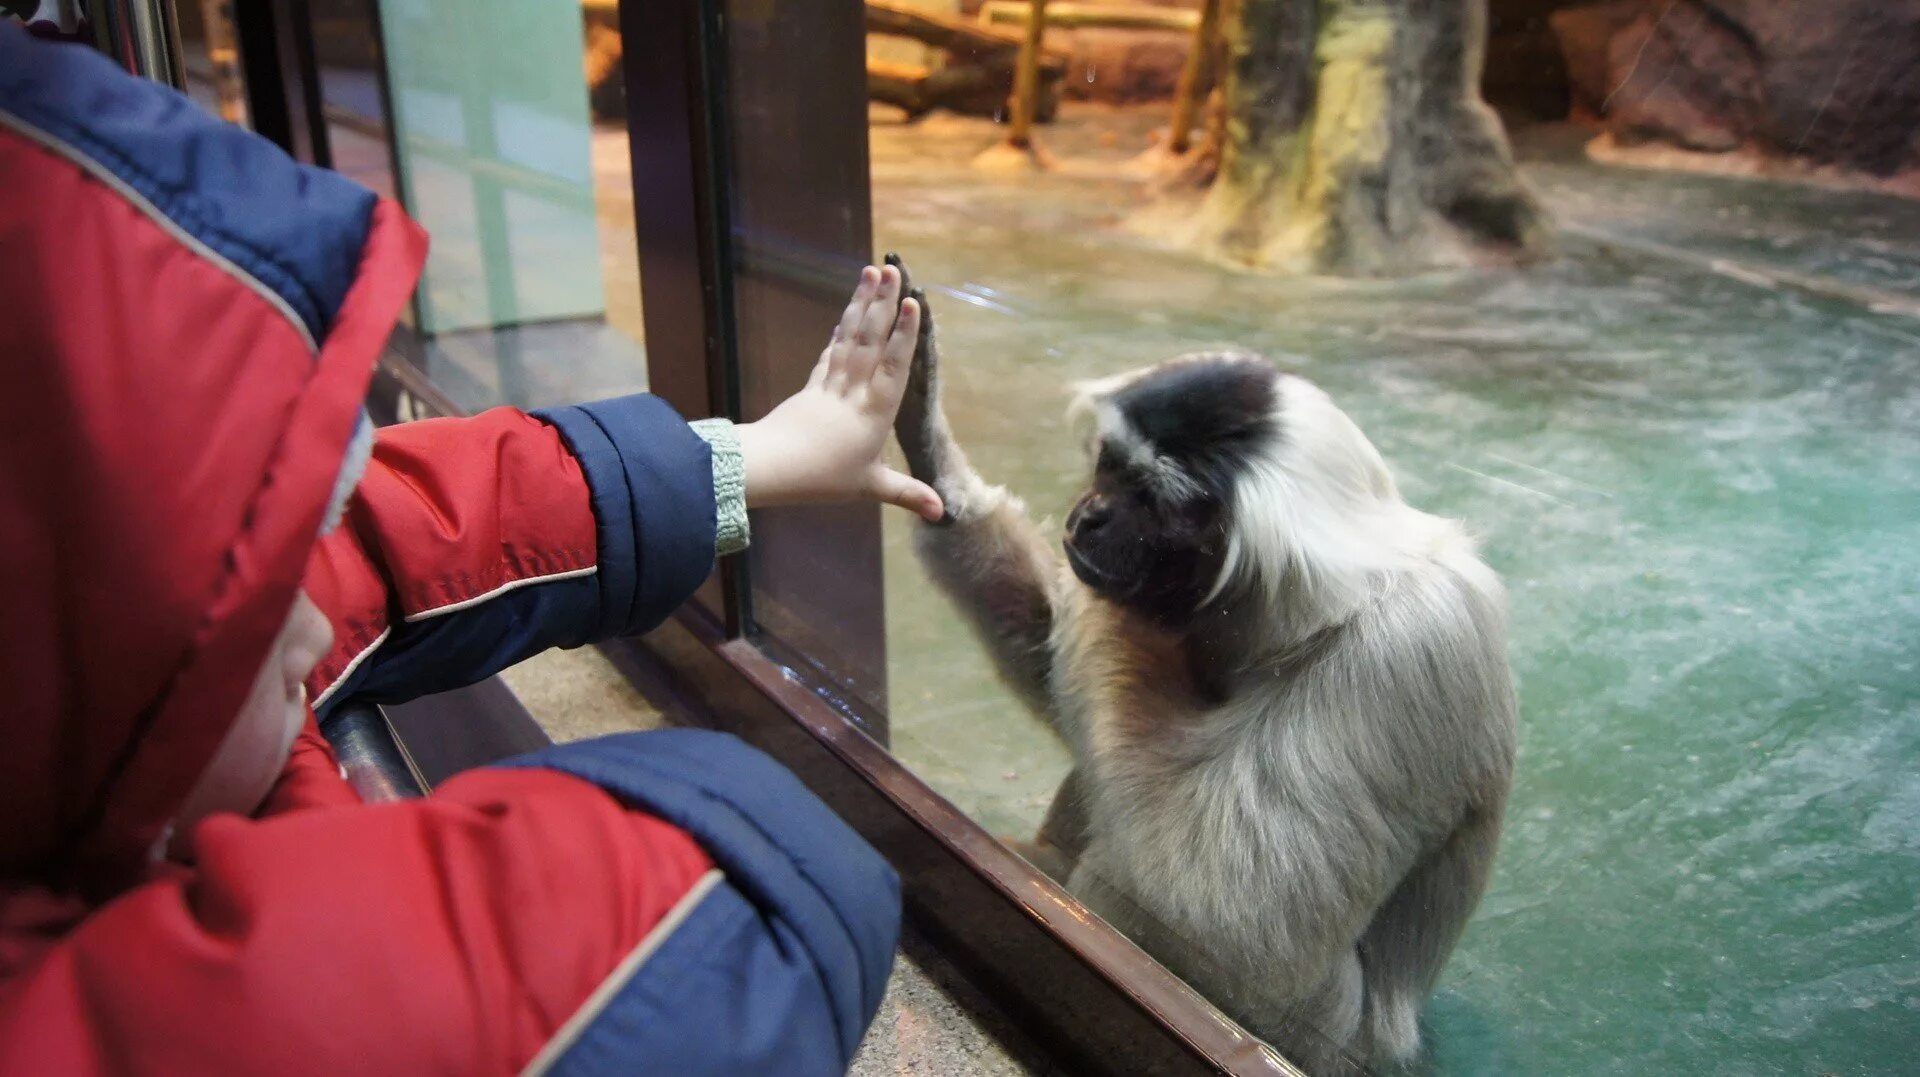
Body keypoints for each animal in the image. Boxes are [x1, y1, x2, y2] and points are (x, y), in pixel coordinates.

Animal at [887, 255, 1528, 1067]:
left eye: (1146, 497)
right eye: (1108, 467)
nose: (1089, 516)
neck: (1300, 613)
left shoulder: (1408, 649)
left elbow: (1233, 918)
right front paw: (929, 446)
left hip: (1321, 1031)